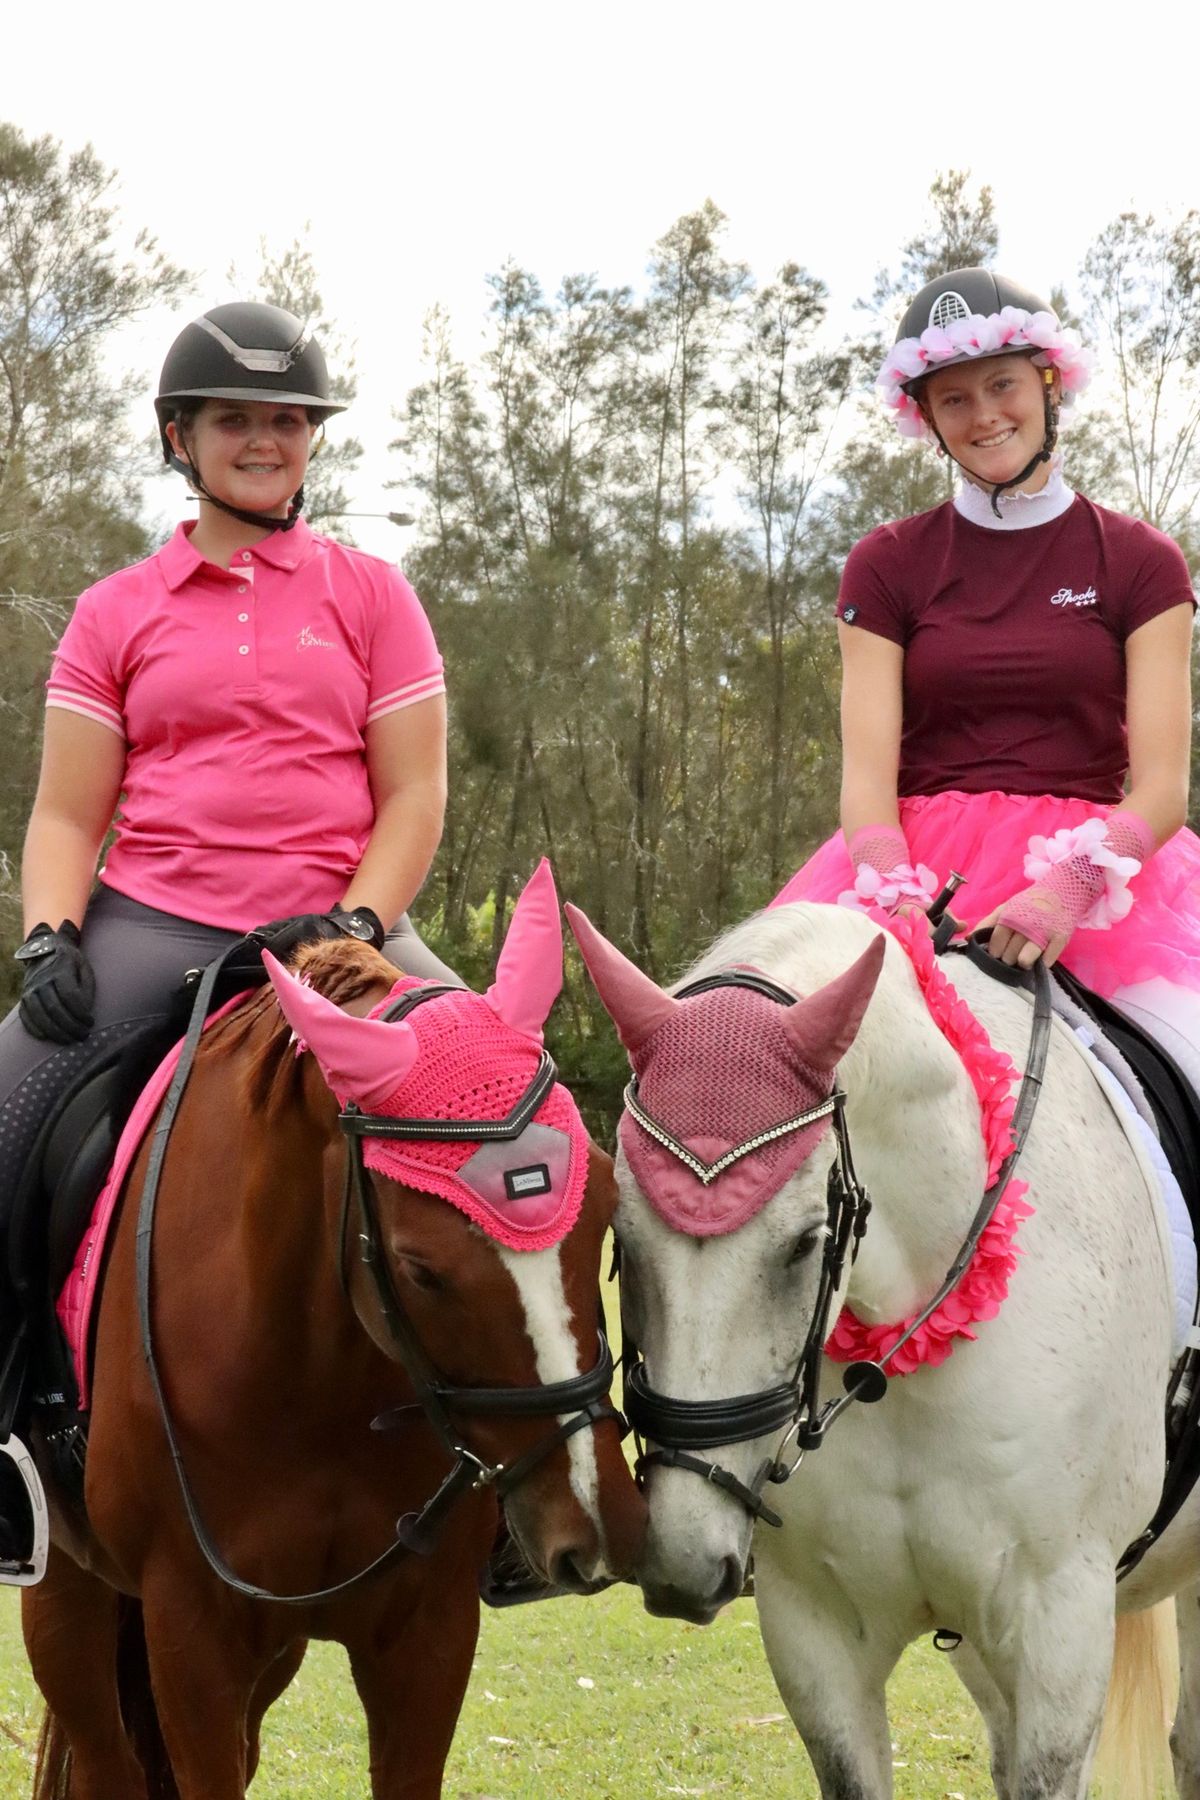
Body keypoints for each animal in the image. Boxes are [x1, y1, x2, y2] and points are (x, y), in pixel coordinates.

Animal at [23, 864, 644, 1792]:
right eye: (421, 1268)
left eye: (606, 1205)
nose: (597, 1527)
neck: (315, 1384)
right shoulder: (191, 1634)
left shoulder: (427, 1631)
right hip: (67, 1594)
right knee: (106, 1761)